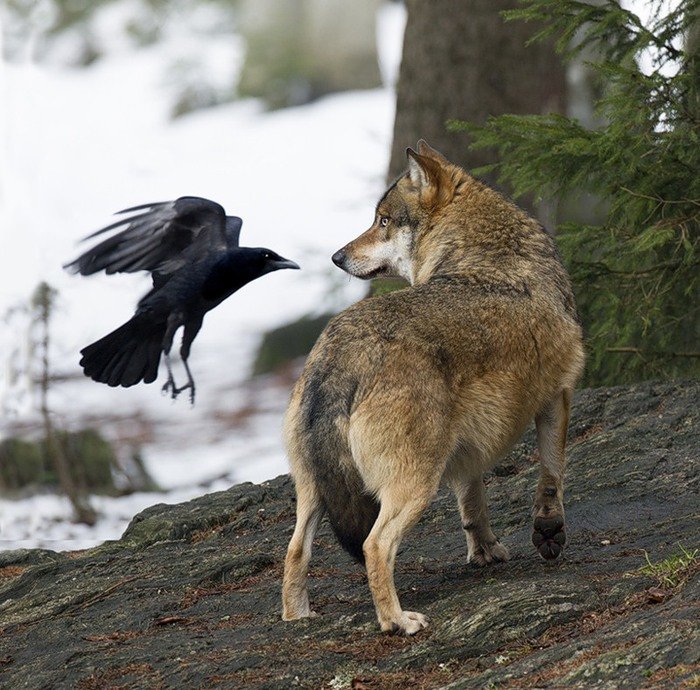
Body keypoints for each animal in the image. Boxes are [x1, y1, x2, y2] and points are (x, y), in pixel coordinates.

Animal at [282, 141, 585, 635]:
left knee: (294, 553)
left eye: (383, 220)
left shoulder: (467, 445)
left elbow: (473, 503)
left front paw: (484, 553)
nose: (336, 257)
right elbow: (551, 475)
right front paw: (548, 533)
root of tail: (339, 357)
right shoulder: (558, 395)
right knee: (374, 546)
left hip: (314, 493)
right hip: (415, 486)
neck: (483, 248)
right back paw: (397, 621)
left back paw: (298, 618)